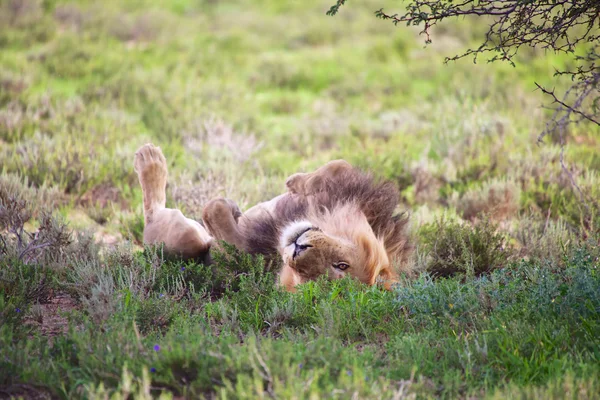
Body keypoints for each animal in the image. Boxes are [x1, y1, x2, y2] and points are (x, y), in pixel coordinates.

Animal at [134, 143, 412, 290]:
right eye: (342, 265)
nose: (299, 248)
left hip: (184, 237)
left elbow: (216, 216)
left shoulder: (246, 255)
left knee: (155, 215)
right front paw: (298, 182)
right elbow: (339, 165)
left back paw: (150, 160)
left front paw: (224, 207)